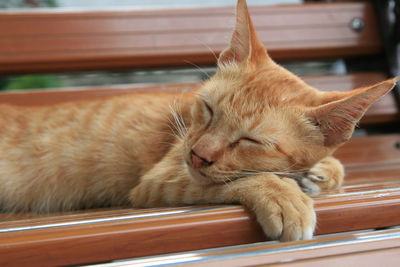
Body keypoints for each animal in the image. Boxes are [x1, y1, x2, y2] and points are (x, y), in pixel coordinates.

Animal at [0, 0, 396, 243]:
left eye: (251, 141)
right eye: (208, 109)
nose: (197, 155)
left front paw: (320, 171)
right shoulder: (159, 180)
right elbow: (230, 181)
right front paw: (282, 194)